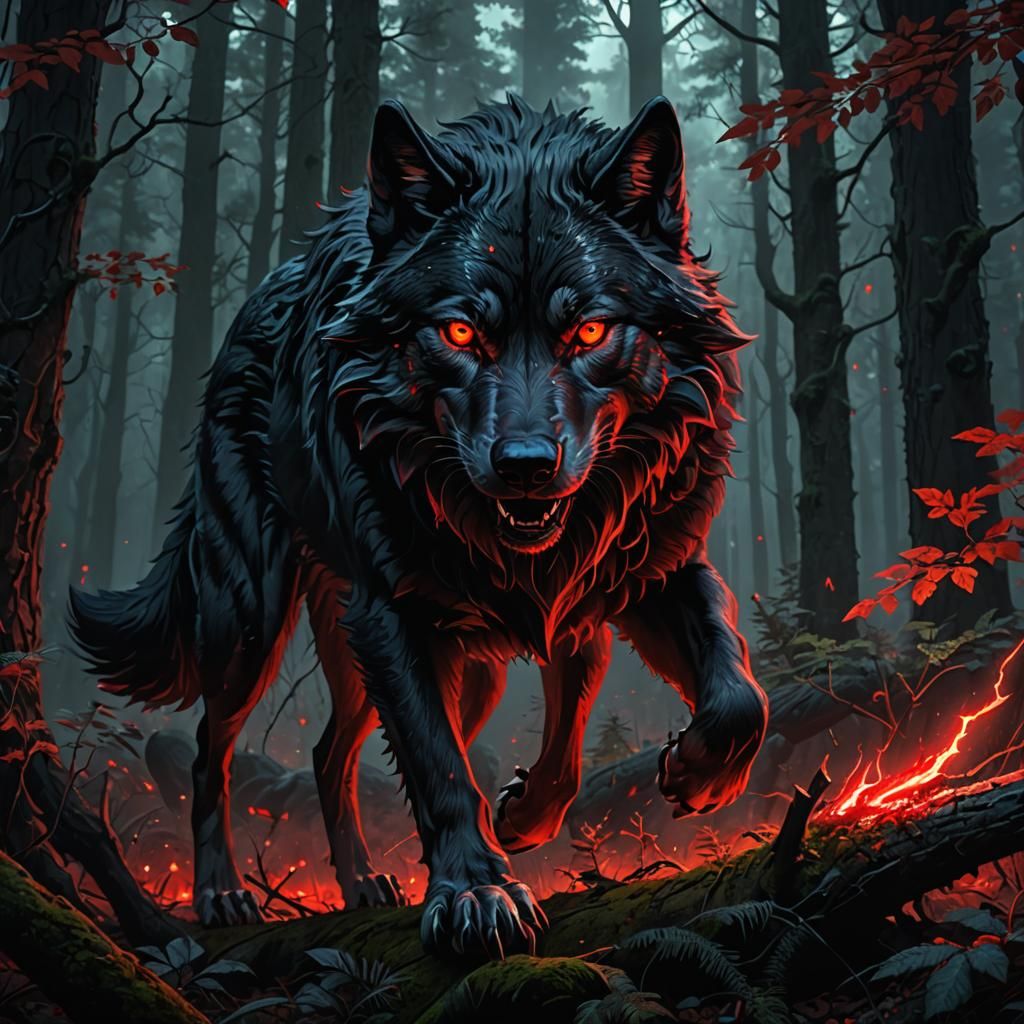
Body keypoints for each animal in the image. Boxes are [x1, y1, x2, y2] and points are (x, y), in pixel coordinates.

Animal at [69, 95, 768, 957]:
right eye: (461, 332)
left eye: (591, 330)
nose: (525, 465)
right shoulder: (395, 616)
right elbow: (442, 771)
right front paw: (477, 893)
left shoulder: (650, 573)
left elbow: (734, 695)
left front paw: (687, 775)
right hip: (251, 625)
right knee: (210, 750)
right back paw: (223, 894)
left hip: (455, 667)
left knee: (336, 750)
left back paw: (370, 881)